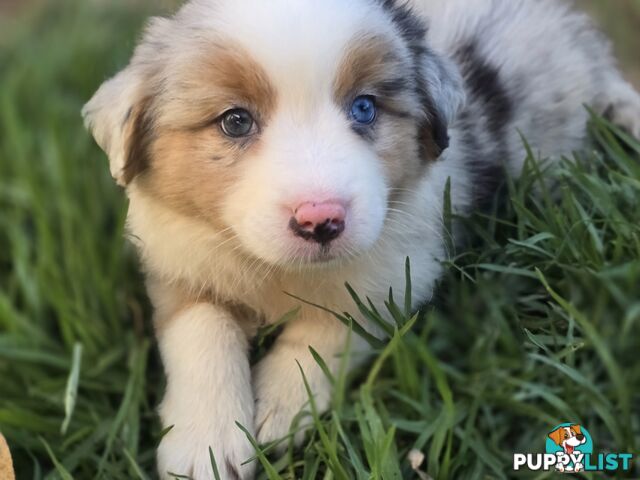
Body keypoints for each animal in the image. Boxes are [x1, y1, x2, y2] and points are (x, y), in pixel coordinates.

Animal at [82, 0, 636, 478]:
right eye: (235, 121)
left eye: (365, 108)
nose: (320, 220)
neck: (280, 272)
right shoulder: (179, 263)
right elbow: (202, 335)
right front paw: (206, 447)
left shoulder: (396, 270)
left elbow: (327, 329)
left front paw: (280, 407)